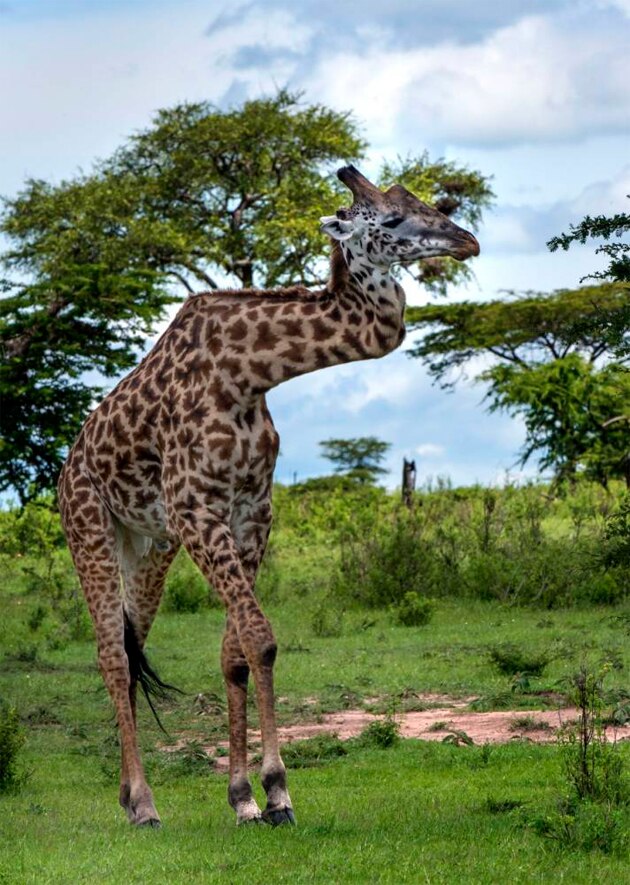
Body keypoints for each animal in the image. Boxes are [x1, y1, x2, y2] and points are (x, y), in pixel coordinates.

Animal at [58, 167, 478, 828]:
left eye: (429, 203)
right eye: (389, 219)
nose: (467, 242)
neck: (248, 373)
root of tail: (69, 465)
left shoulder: (252, 509)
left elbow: (234, 650)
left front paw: (245, 798)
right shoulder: (196, 508)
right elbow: (261, 638)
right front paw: (278, 791)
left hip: (149, 543)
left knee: (130, 647)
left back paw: (127, 796)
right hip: (89, 529)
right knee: (112, 655)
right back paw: (145, 806)